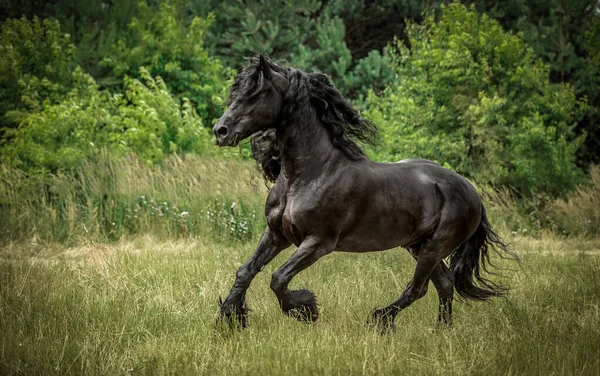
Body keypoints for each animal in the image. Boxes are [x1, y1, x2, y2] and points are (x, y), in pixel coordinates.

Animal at [212, 55, 510, 328]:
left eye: (257, 92)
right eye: (236, 92)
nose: (220, 131)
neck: (310, 174)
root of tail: (472, 192)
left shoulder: (318, 242)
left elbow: (279, 278)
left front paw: (306, 309)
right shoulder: (276, 234)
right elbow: (246, 271)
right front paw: (229, 318)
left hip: (435, 247)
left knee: (418, 288)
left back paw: (380, 319)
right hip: (418, 245)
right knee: (445, 284)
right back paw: (441, 331)